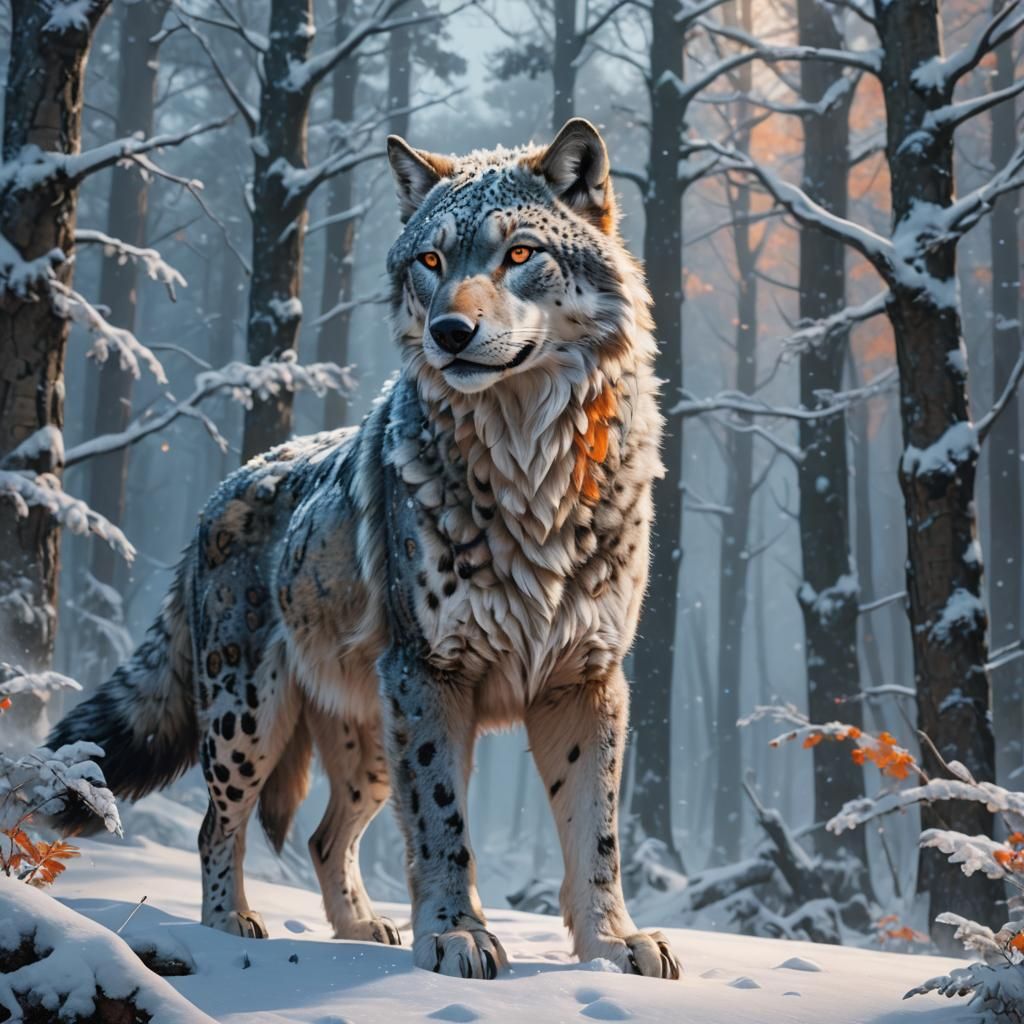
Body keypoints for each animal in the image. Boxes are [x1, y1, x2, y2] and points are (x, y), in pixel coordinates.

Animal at [49, 118, 679, 980]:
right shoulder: (431, 674)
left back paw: (359, 930)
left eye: (518, 253)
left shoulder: (585, 680)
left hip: (372, 745)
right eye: (431, 262)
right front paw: (457, 935)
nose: (450, 331)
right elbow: (445, 826)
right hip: (251, 721)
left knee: (322, 837)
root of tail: (230, 483)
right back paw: (228, 927)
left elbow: (597, 836)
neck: (531, 472)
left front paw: (614, 945)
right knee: (219, 827)